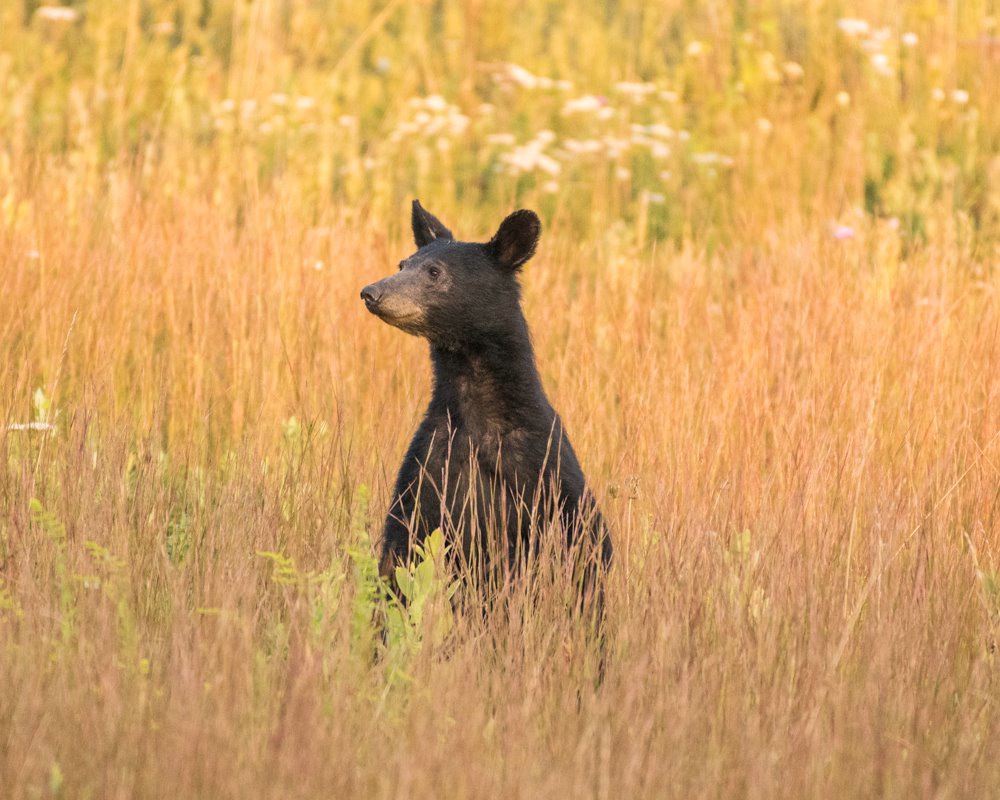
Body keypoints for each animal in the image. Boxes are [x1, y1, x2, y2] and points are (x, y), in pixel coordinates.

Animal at [360, 200, 608, 608]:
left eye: (434, 272)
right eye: (401, 264)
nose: (371, 292)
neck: (477, 410)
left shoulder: (543, 467)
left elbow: (584, 549)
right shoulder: (429, 462)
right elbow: (402, 543)